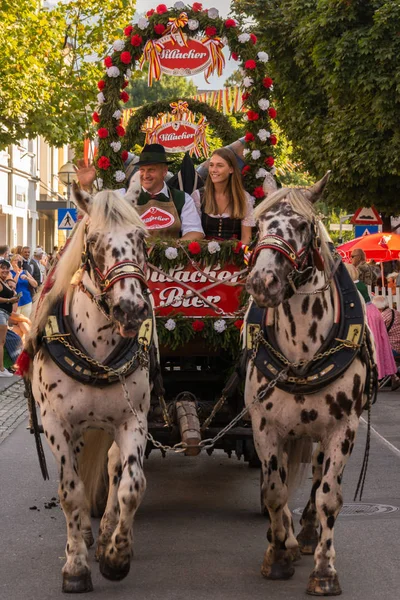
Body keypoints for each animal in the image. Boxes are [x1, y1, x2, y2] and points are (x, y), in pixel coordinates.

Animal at [26, 185, 152, 592]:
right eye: (93, 240)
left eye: (141, 239)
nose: (131, 309)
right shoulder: (57, 424)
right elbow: (71, 491)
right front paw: (76, 565)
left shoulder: (133, 421)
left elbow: (131, 486)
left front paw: (116, 557)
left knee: (112, 469)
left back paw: (108, 530)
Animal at [244, 175, 378, 596]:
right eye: (259, 224)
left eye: (302, 225)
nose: (263, 281)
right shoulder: (264, 426)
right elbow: (274, 490)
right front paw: (277, 554)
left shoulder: (342, 428)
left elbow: (329, 498)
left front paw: (324, 570)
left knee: (318, 476)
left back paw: (303, 533)